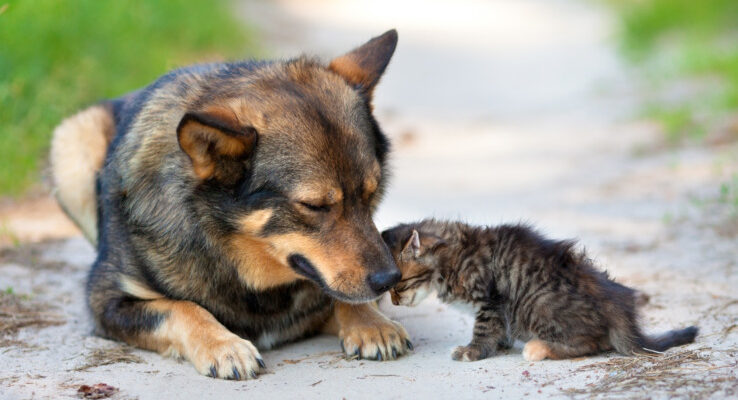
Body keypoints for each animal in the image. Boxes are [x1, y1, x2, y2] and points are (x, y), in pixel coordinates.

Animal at [49, 29, 412, 380]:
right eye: (314, 206)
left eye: (371, 193)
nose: (390, 279)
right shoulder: (107, 301)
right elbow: (180, 307)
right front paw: (223, 345)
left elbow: (341, 296)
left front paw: (372, 324)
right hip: (73, 140)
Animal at [380, 220, 696, 360]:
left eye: (399, 285)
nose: (394, 303)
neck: (452, 256)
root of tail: (618, 305)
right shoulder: (497, 308)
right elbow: (498, 329)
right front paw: (501, 344)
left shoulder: (490, 300)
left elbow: (483, 329)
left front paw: (472, 351)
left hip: (537, 304)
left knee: (592, 342)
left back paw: (538, 347)